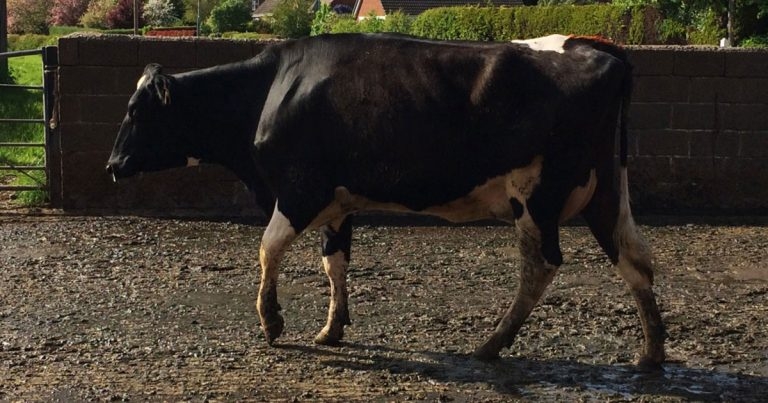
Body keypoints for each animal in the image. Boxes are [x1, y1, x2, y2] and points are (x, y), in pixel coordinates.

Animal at [106, 33, 666, 370]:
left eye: (136, 110)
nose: (112, 164)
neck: (272, 90)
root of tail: (596, 49)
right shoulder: (337, 203)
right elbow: (333, 262)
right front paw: (331, 328)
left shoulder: (300, 190)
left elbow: (268, 248)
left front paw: (272, 320)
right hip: (606, 193)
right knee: (635, 259)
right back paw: (652, 351)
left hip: (536, 199)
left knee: (541, 266)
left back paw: (491, 344)